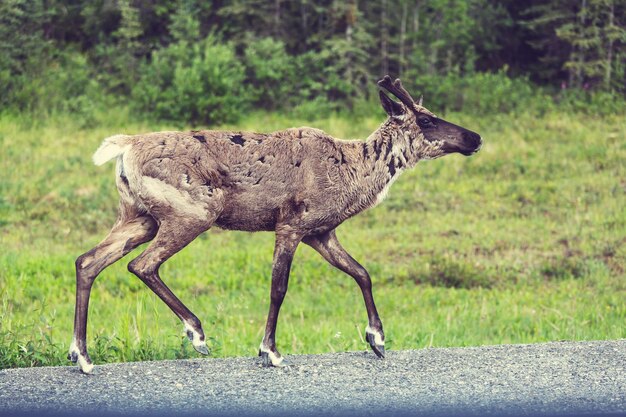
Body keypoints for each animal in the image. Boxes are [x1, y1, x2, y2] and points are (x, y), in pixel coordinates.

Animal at [68, 75, 480, 370]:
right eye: (425, 119)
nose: (475, 137)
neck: (352, 174)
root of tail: (123, 149)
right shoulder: (291, 225)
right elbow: (278, 288)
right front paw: (270, 351)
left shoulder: (321, 233)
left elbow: (362, 273)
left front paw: (376, 339)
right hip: (192, 213)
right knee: (141, 265)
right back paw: (197, 333)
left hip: (139, 217)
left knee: (88, 261)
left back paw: (82, 356)